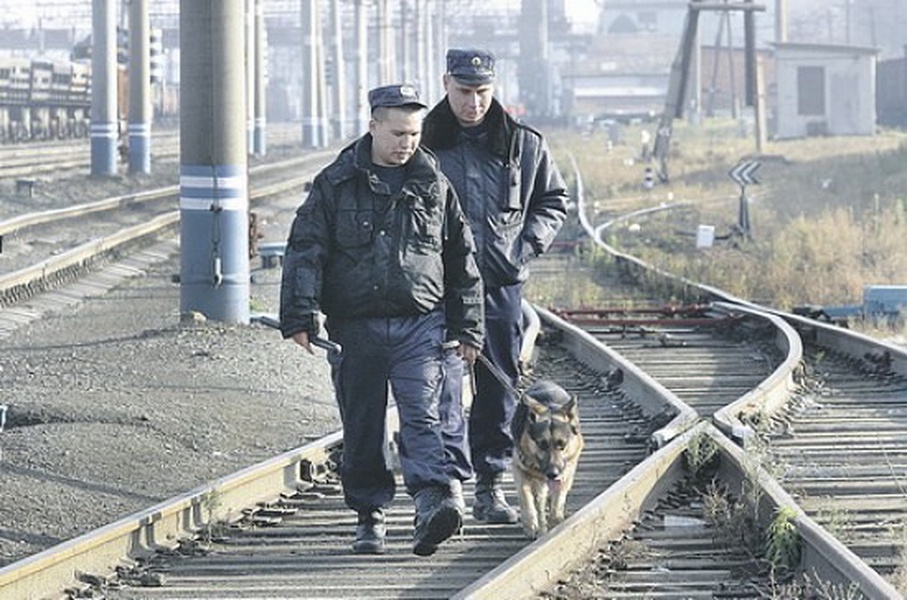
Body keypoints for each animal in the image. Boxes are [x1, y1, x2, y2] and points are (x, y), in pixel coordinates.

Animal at [510, 380, 580, 540]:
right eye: (542, 444)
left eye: (562, 445)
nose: (552, 474)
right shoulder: (519, 470)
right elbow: (526, 498)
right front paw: (531, 524)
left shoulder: (565, 475)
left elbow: (557, 501)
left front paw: (555, 522)